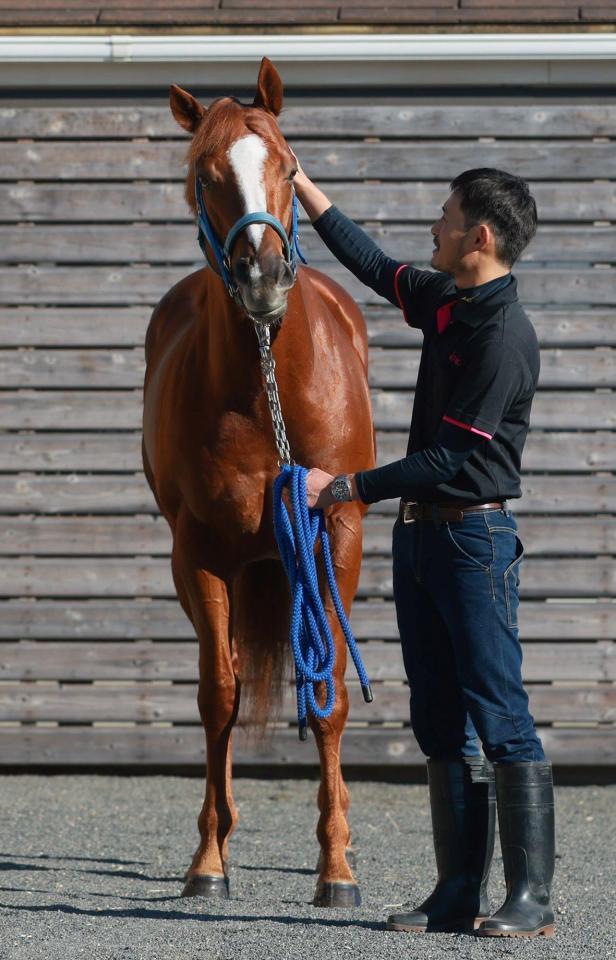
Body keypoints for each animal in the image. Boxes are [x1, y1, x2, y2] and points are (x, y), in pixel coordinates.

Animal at [143, 60, 376, 908]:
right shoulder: (200, 553)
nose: (263, 278)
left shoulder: (336, 532)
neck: (264, 391)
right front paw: (209, 860)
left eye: (287, 163)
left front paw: (337, 868)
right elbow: (219, 694)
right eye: (204, 176)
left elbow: (330, 690)